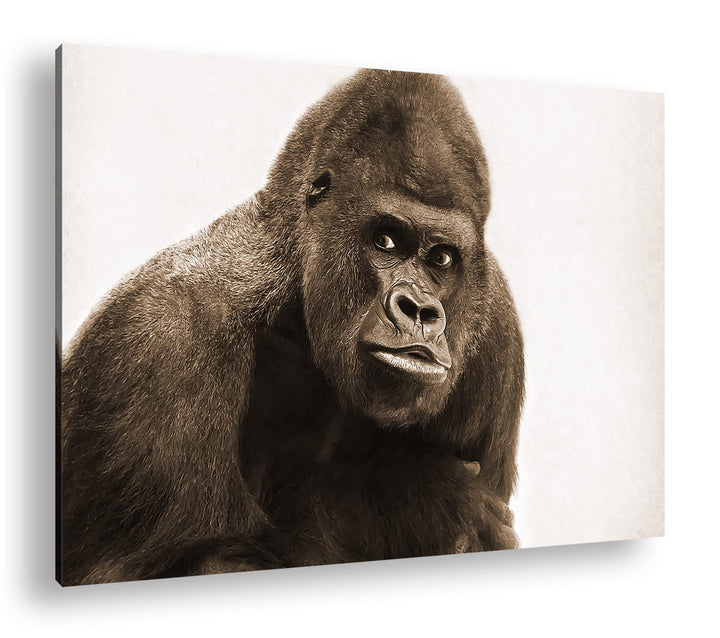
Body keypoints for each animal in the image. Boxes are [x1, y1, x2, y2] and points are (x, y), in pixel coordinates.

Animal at [59, 69, 524, 585]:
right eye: (385, 240)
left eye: (442, 258)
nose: (420, 310)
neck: (293, 297)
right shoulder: (162, 338)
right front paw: (421, 501)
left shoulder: (497, 328)